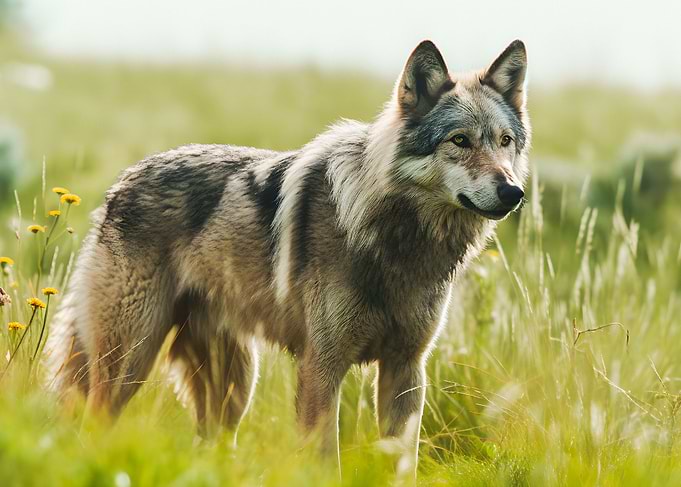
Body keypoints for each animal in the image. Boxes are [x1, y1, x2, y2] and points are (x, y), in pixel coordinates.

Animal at [44, 39, 530, 475]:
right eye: (460, 141)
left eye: (505, 141)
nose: (513, 192)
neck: (394, 241)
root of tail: (120, 183)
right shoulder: (321, 368)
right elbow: (325, 462)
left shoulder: (406, 370)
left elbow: (400, 465)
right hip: (132, 363)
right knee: (96, 421)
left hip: (235, 386)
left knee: (212, 447)